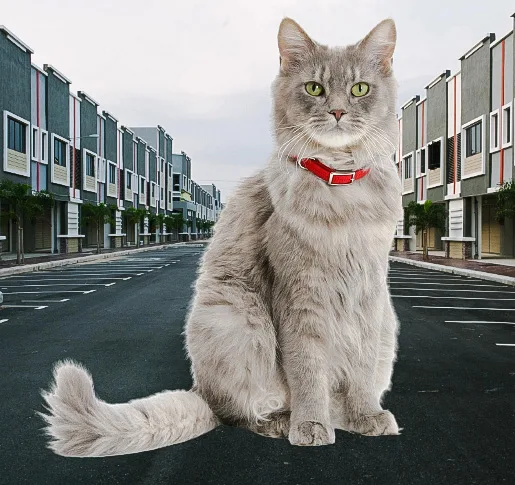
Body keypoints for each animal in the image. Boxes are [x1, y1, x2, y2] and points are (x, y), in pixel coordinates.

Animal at [40, 17, 404, 456]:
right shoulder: (300, 295)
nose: (337, 111)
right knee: (238, 413)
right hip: (236, 317)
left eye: (360, 89)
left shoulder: (369, 295)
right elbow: (308, 370)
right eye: (314, 88)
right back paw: (282, 422)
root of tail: (201, 391)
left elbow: (361, 370)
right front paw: (310, 425)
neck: (342, 193)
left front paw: (365, 416)